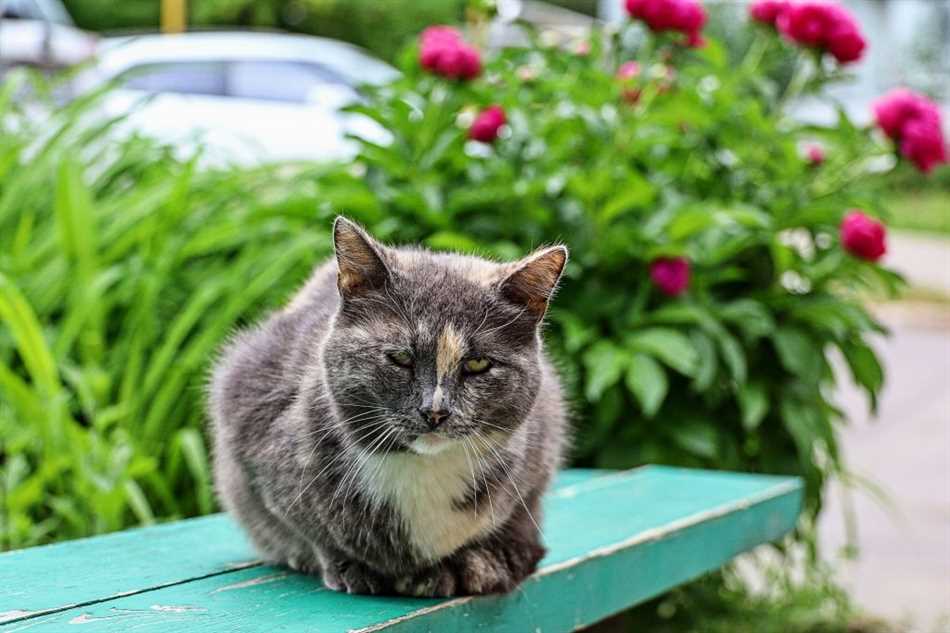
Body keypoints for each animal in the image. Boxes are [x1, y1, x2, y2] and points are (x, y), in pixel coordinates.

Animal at [208, 217, 568, 596]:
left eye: (478, 363)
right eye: (400, 358)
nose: (435, 411)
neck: (424, 469)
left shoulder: (542, 447)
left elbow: (518, 522)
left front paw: (484, 562)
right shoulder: (252, 410)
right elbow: (313, 530)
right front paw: (352, 566)